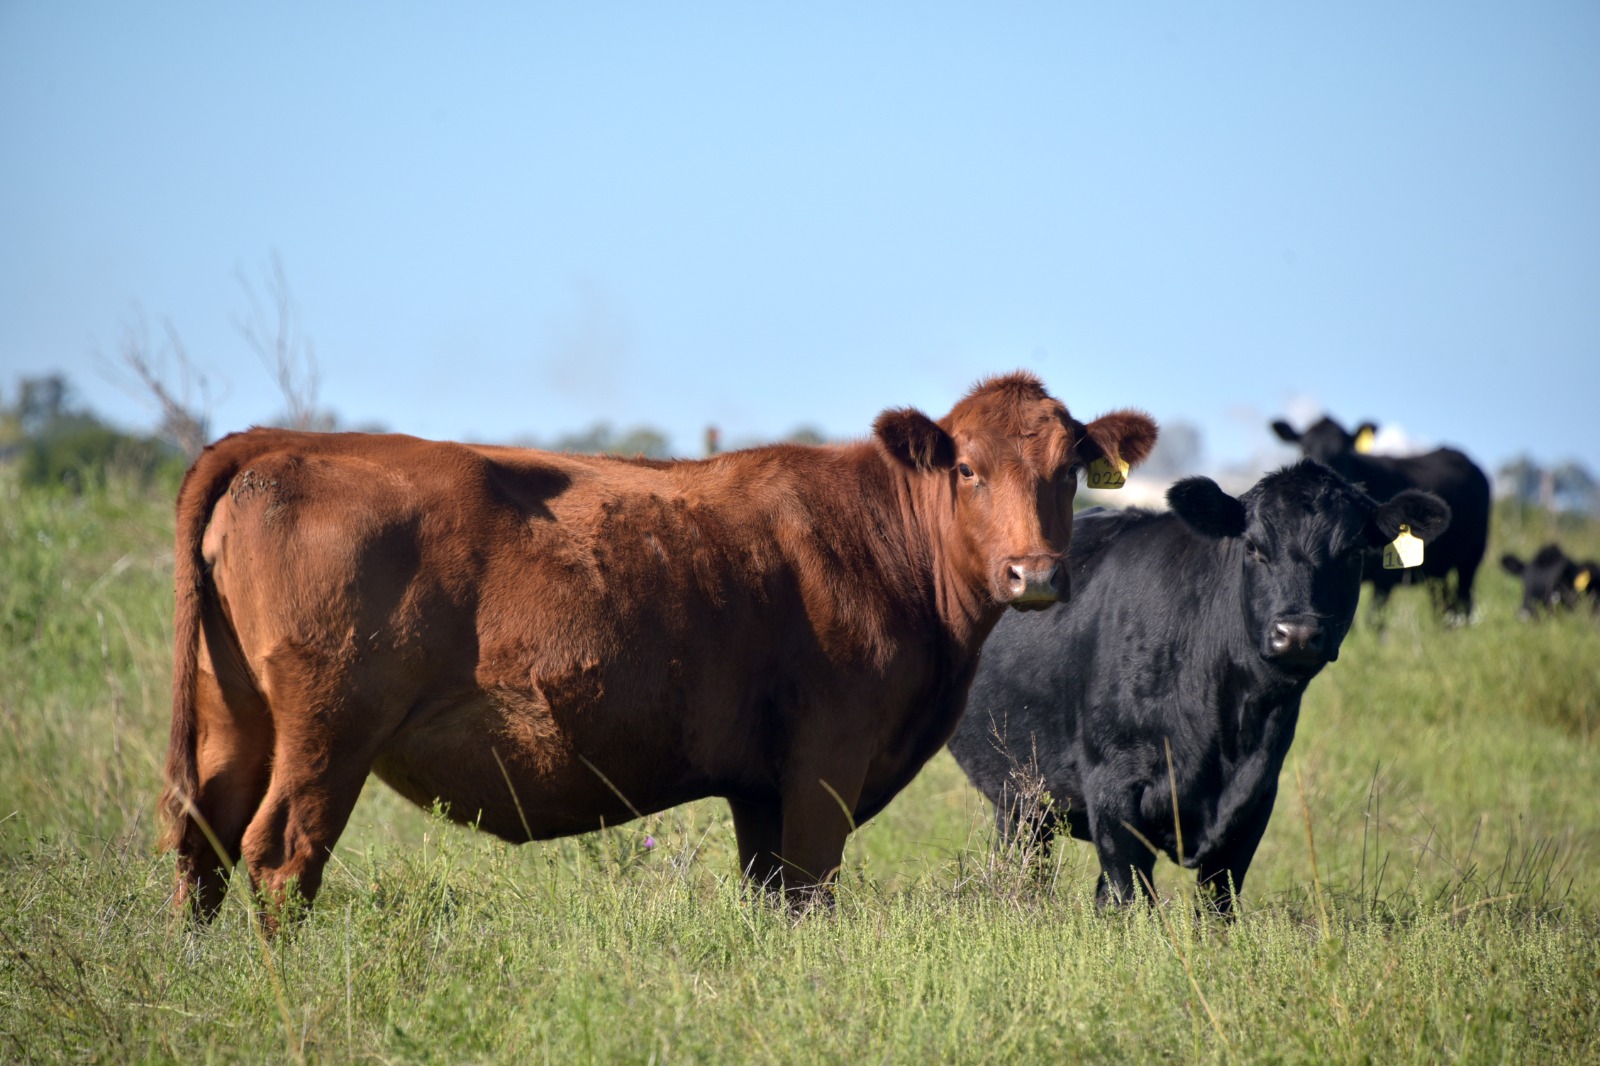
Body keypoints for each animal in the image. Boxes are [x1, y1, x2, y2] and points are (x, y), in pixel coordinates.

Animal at [160, 372, 1158, 924]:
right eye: (968, 468)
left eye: (1068, 469)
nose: (1036, 574)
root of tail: (276, 442)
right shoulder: (825, 763)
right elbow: (809, 893)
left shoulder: (760, 787)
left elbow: (770, 896)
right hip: (329, 730)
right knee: (281, 854)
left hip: (231, 717)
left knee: (200, 837)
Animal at [947, 460, 1450, 914]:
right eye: (1254, 547)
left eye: (1352, 553)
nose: (1298, 633)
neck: (1225, 732)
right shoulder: (1112, 788)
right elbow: (1129, 901)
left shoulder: (1255, 801)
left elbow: (1215, 907)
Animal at [1270, 416, 1488, 622]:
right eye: (1304, 447)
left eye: (1344, 450)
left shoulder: (1385, 577)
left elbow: (1373, 620)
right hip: (1438, 571)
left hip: (1471, 558)